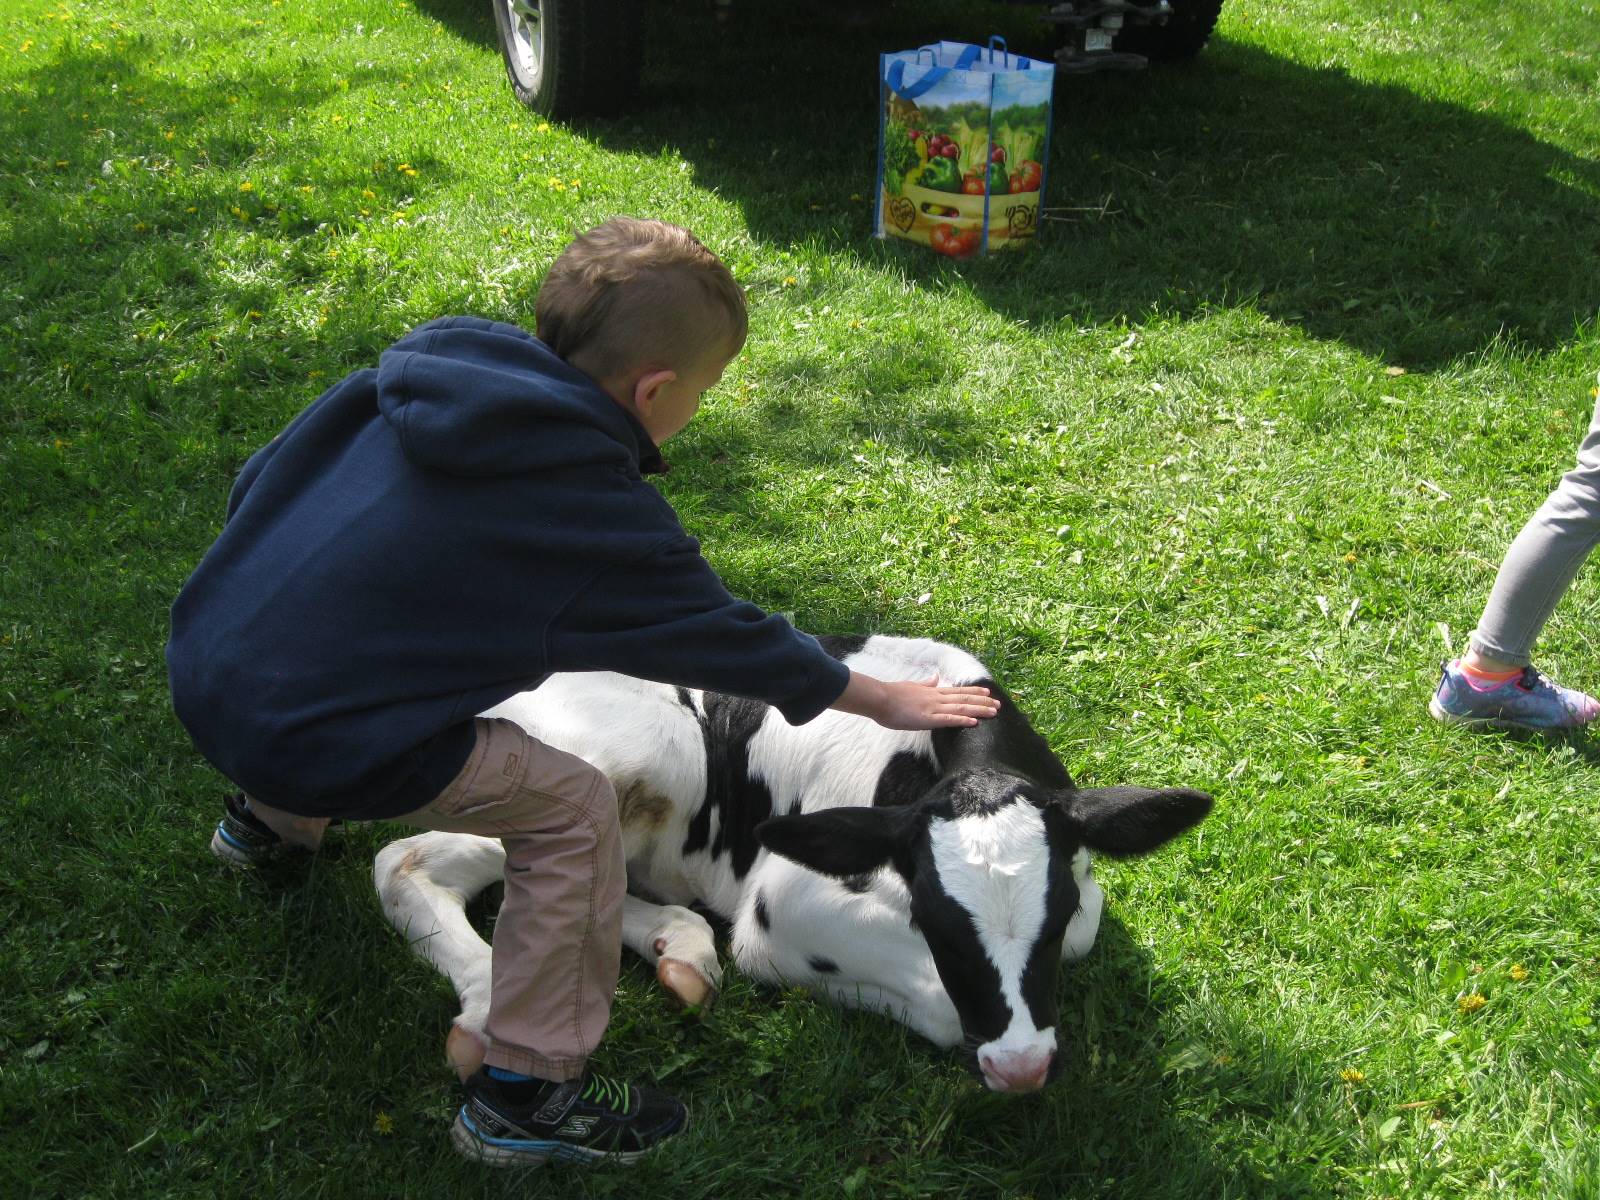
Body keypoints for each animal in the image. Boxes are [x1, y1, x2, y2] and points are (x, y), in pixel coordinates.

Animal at [371, 640, 1203, 1100]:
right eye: (935, 922)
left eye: (1051, 918)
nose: (1021, 1068)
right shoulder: (783, 904)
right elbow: (938, 1003)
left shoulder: (1083, 892)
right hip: (633, 751)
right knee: (404, 860)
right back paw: (486, 1007)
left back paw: (681, 951)